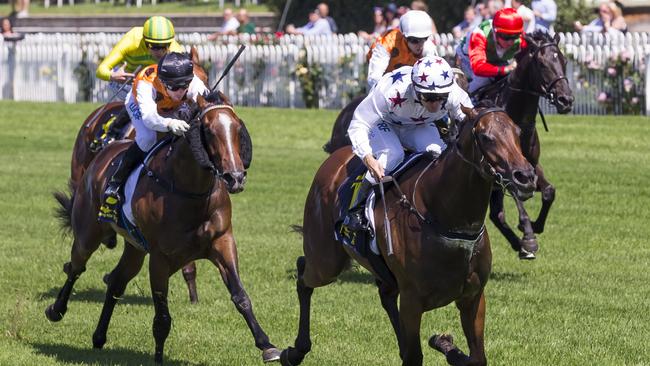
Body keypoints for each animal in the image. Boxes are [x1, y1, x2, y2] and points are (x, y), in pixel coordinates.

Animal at [46, 91, 276, 364]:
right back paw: (56, 309)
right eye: (209, 131)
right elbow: (162, 318)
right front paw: (158, 357)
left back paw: (99, 336)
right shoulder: (159, 258)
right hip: (88, 233)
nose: (235, 178)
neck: (190, 191)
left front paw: (267, 345)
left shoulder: (223, 242)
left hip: (134, 248)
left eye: (237, 127)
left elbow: (241, 296)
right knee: (75, 267)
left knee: (116, 281)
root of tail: (103, 154)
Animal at [280, 103, 536, 366]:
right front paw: (441, 342)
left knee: (384, 294)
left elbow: (476, 358)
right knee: (303, 273)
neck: (444, 216)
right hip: (326, 263)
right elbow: (415, 356)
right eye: (486, 137)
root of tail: (333, 160)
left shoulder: (473, 297)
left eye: (518, 132)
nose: (525, 176)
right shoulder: (412, 301)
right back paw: (293, 351)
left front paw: (444, 342)